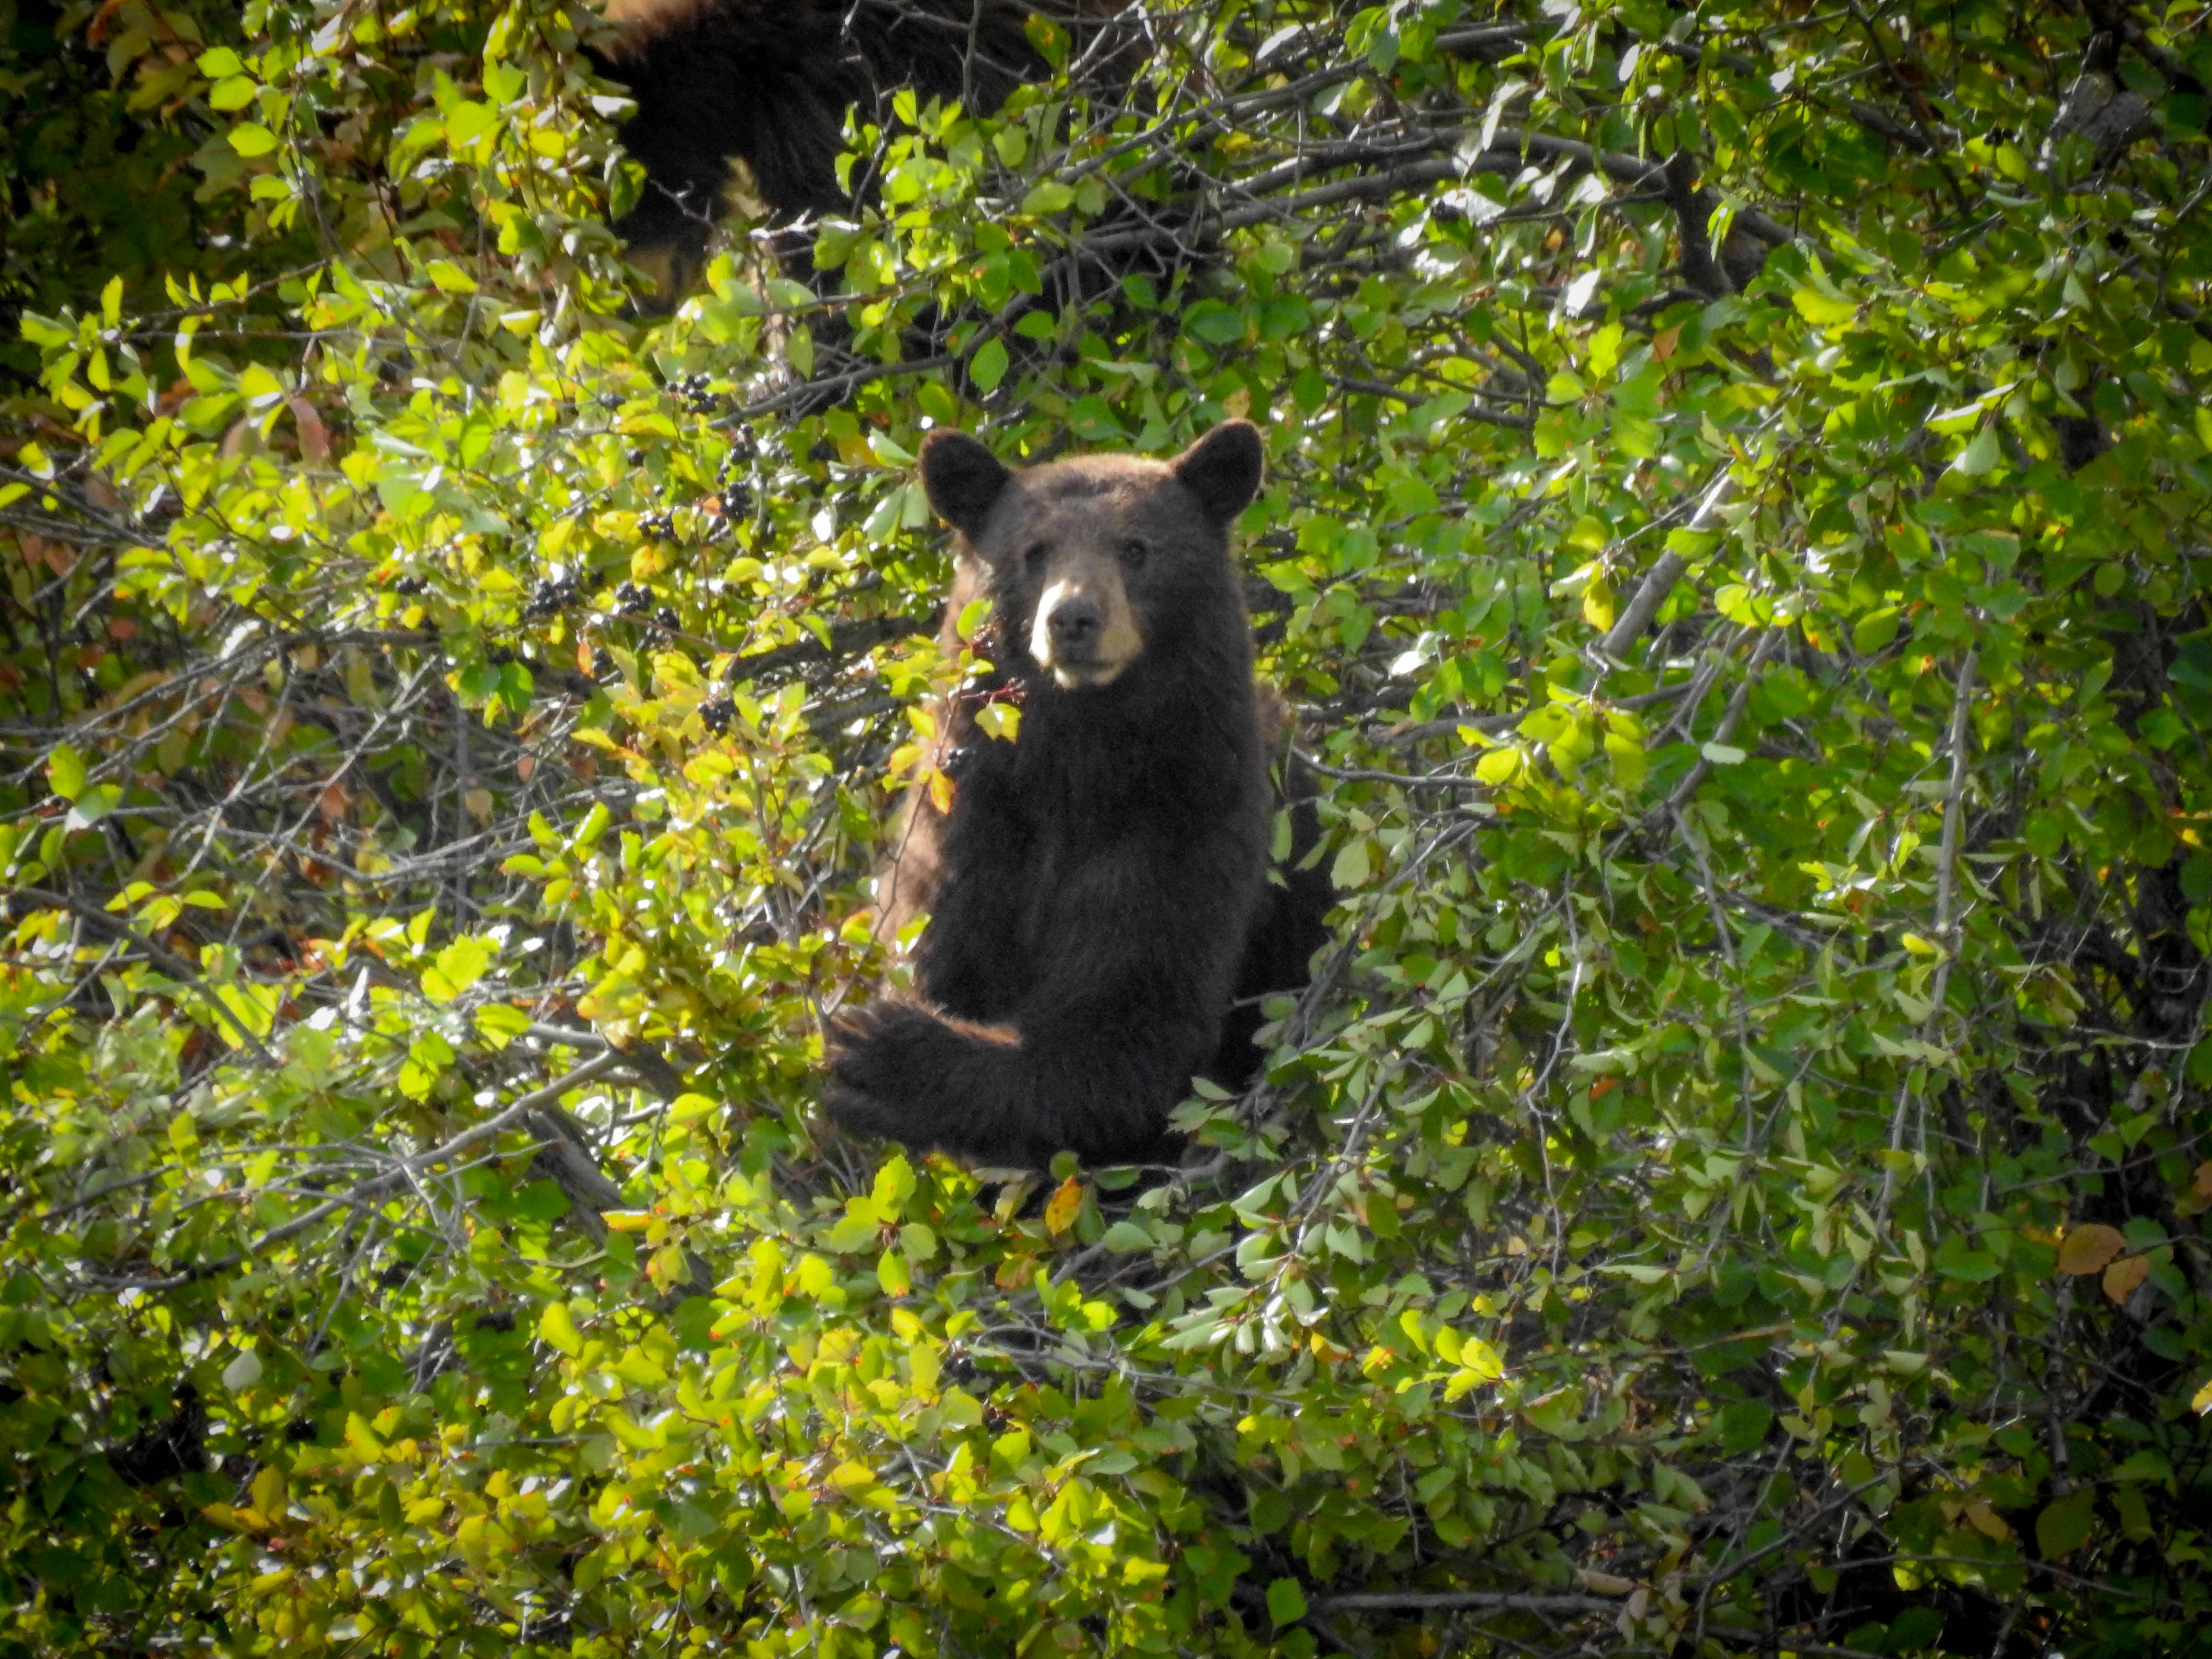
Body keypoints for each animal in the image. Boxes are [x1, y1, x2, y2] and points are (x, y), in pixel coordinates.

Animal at [823, 418, 1318, 1168]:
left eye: (1137, 548)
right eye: (1033, 553)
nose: (1074, 618)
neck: (1079, 761)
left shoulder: (1189, 812)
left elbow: (1128, 1025)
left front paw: (884, 1053)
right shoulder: (969, 819)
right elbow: (939, 947)